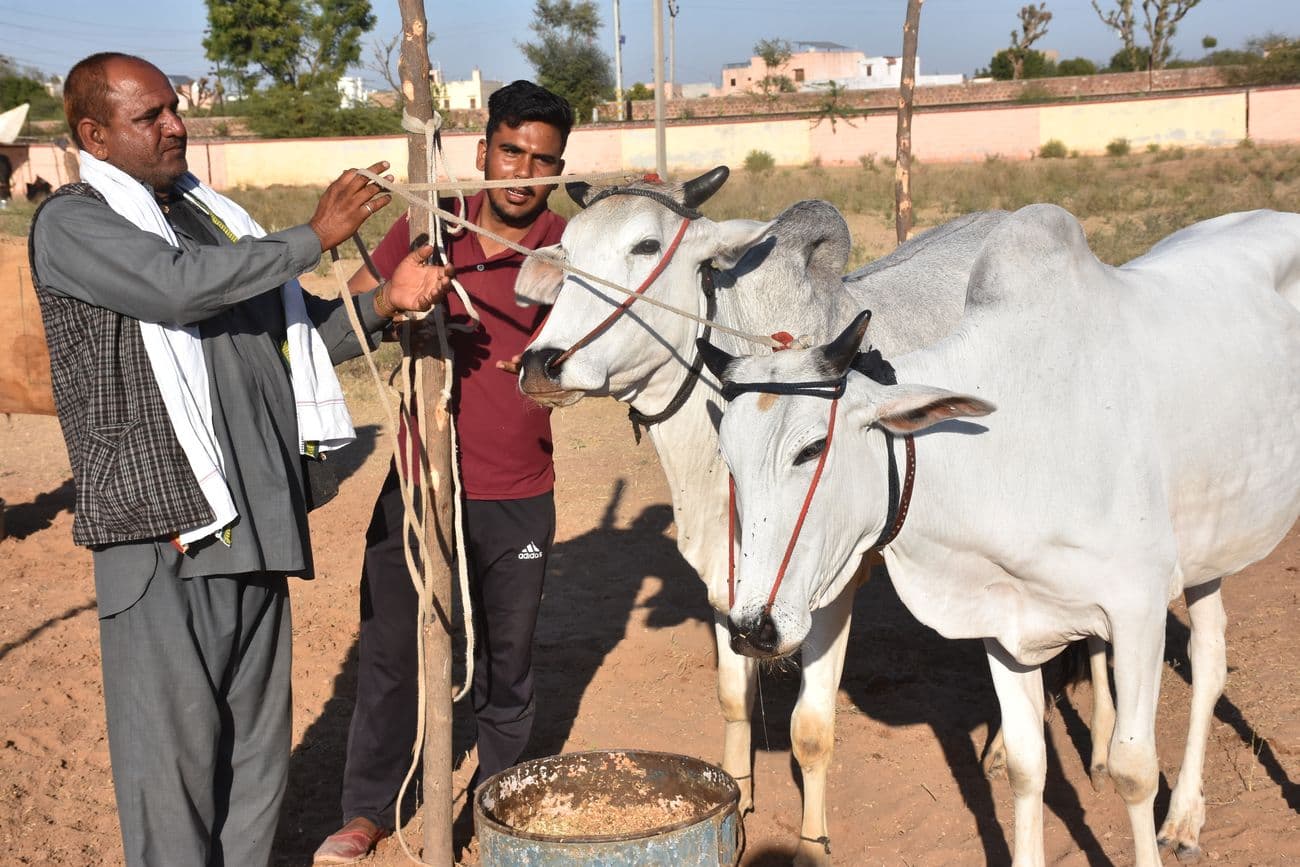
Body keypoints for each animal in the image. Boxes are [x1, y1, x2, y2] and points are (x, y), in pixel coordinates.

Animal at [512, 167, 1019, 863]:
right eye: (566, 254)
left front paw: (813, 839)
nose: (541, 364)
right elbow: (734, 699)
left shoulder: (829, 589)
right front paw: (739, 799)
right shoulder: (728, 586)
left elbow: (811, 729)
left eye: (646, 245)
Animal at [707, 205, 1300, 867]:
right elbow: (1026, 766)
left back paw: (1186, 819)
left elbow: (1134, 770)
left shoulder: (1138, 612)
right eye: (728, 459)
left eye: (811, 449)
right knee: (1210, 655)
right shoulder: (1006, 622)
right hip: (1208, 550)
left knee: (1208, 664)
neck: (1008, 446)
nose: (752, 628)